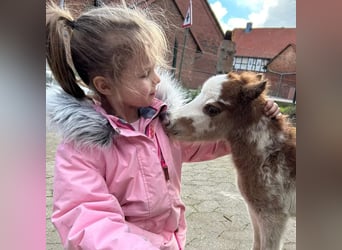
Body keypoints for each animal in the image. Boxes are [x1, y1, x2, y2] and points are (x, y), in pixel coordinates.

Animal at [164, 71, 296, 250]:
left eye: (212, 109)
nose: (167, 118)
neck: (271, 155)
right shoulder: (255, 210)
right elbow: (256, 243)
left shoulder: (274, 216)